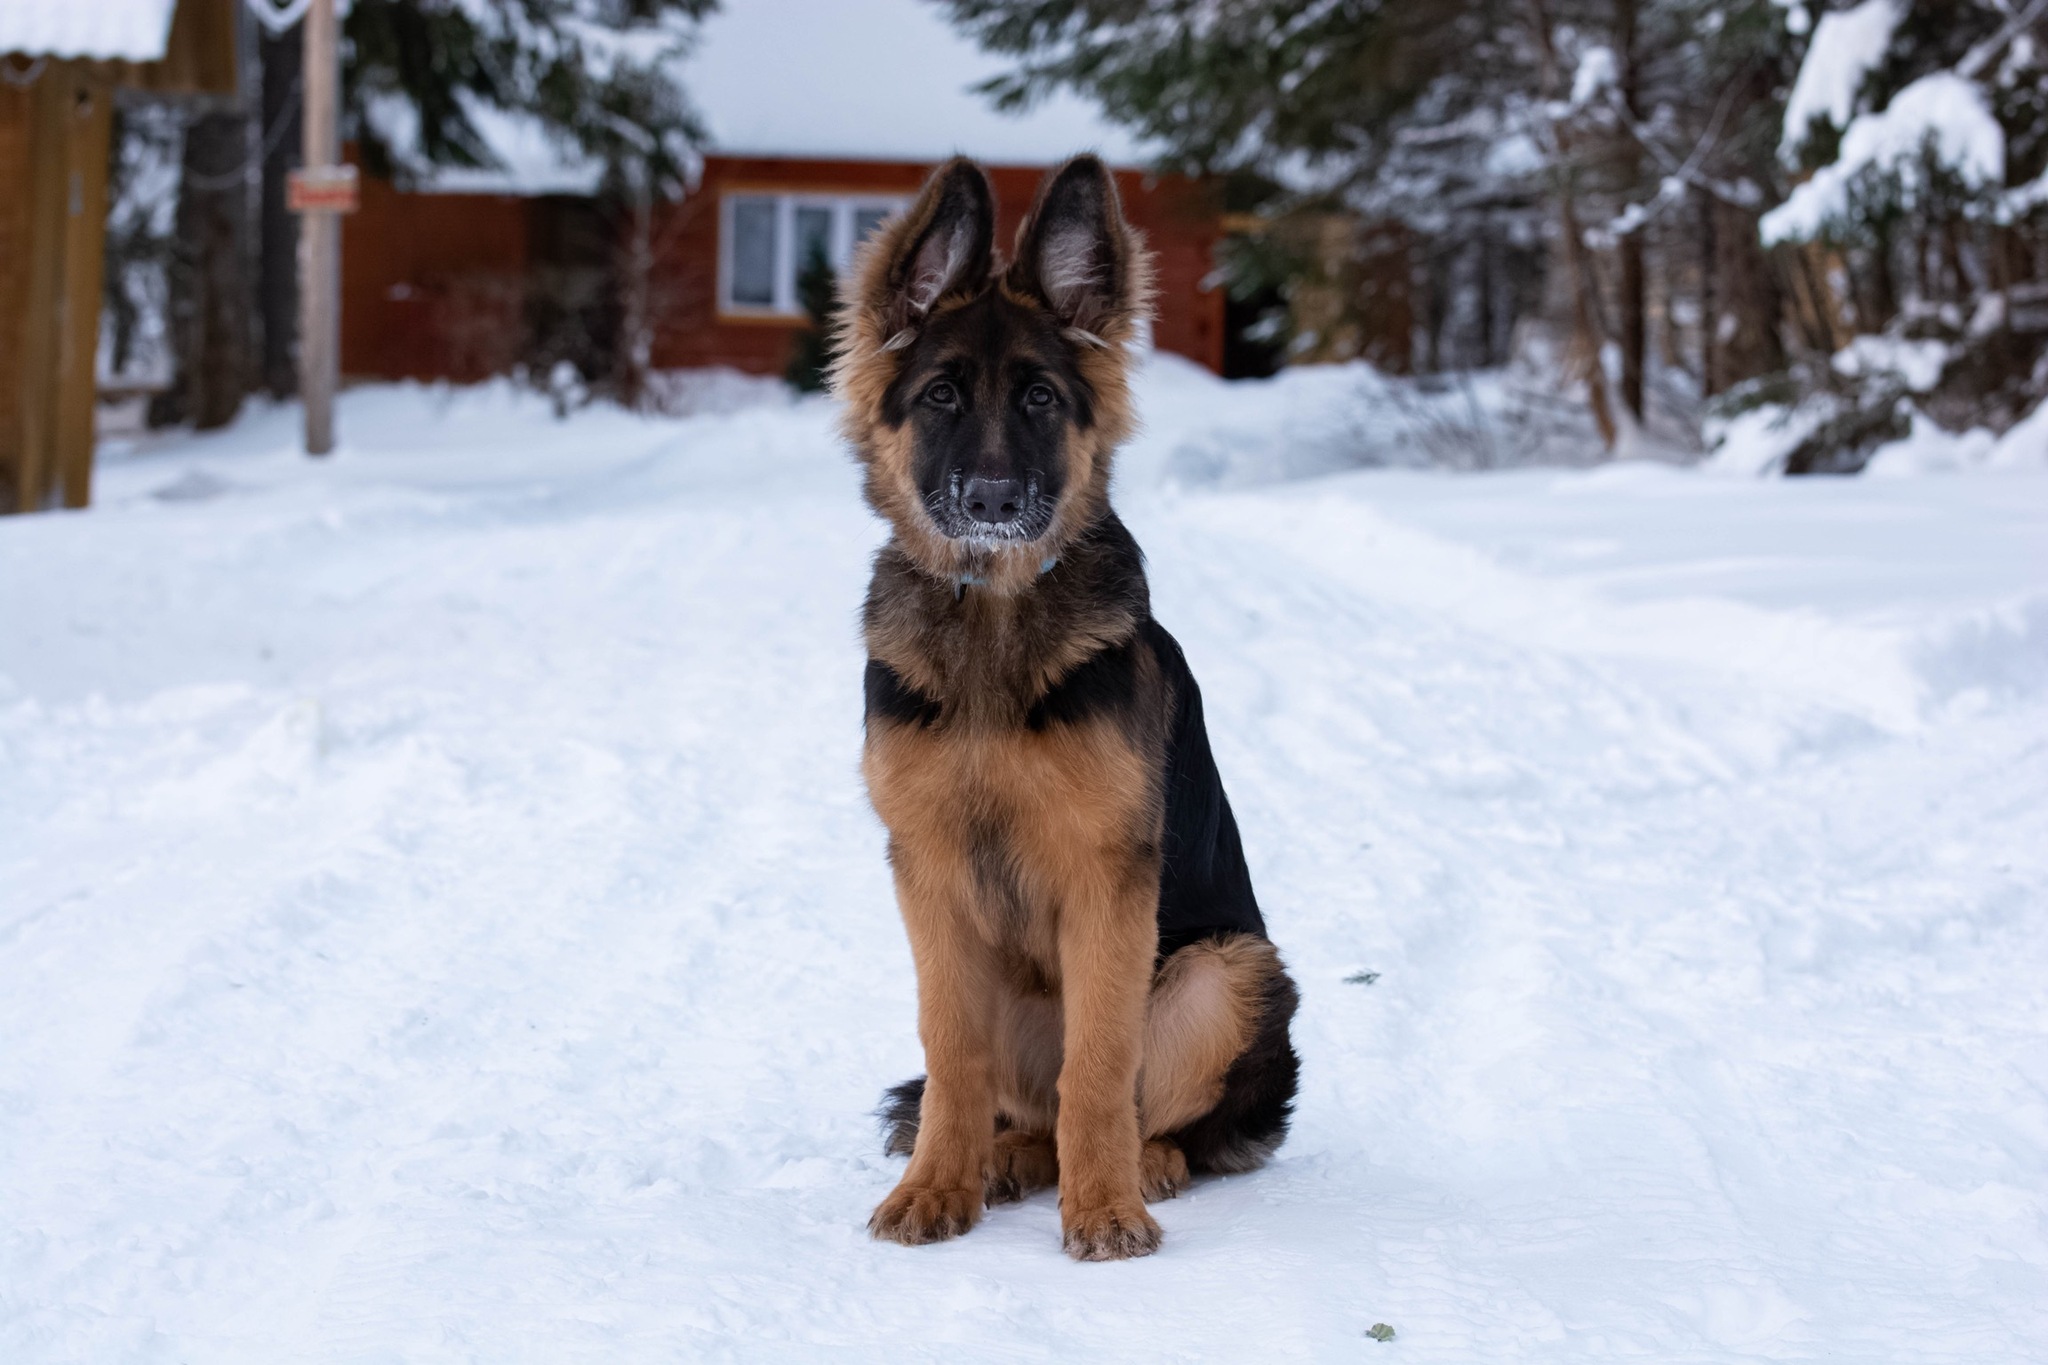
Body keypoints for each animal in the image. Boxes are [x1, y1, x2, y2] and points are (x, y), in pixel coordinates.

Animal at [827, 157, 1294, 1260]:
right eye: (942, 396)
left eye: (1041, 398)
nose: (994, 504)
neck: (994, 614)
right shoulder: (928, 875)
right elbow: (951, 1055)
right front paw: (934, 1186)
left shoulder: (1108, 878)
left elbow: (1101, 1065)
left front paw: (1105, 1207)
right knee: (1019, 1108)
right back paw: (1003, 1157)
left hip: (1226, 969)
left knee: (1162, 1110)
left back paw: (1146, 1165)